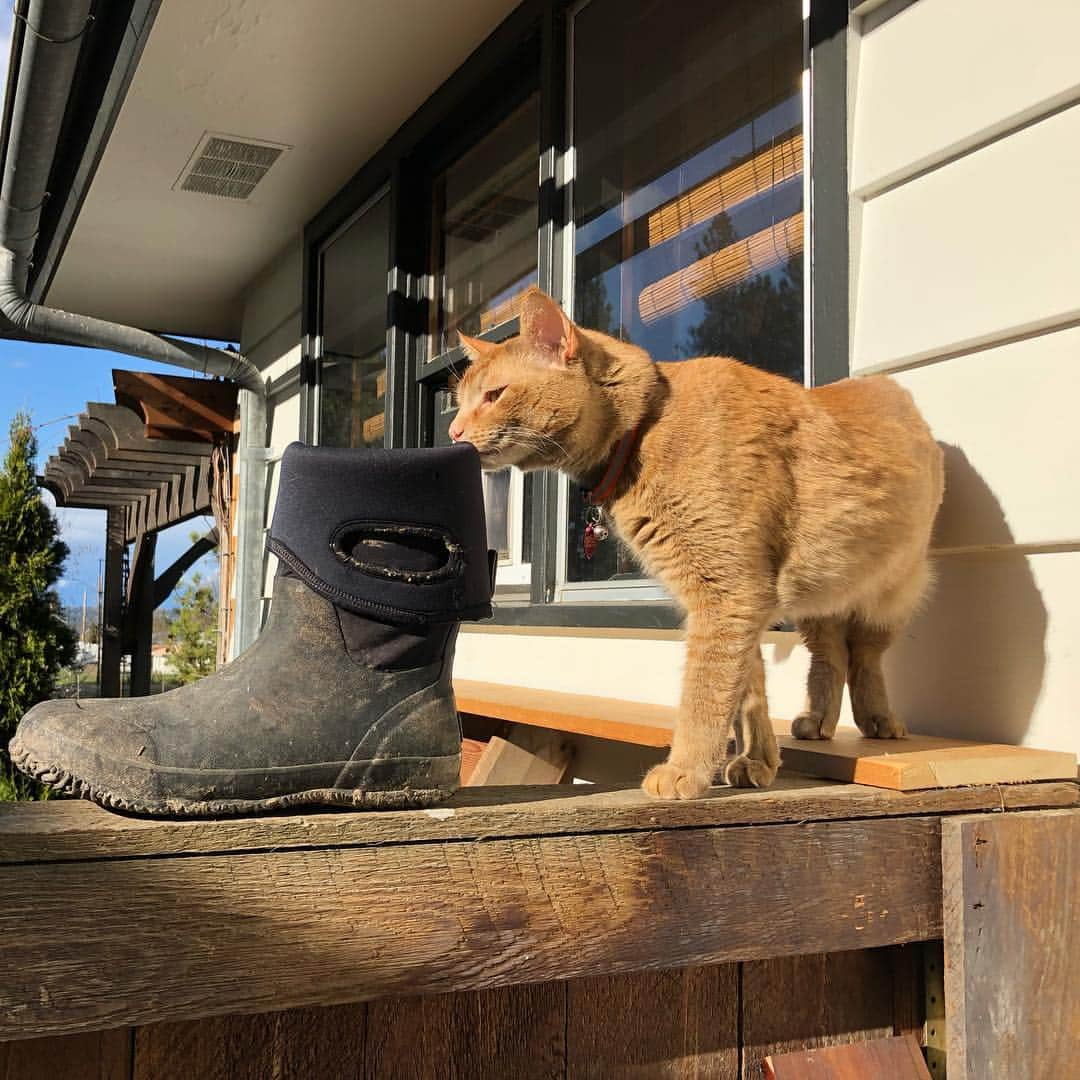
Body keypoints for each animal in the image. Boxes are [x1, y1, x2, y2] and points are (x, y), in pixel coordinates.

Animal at [451, 291, 941, 799]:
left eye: (494, 395)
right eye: (459, 403)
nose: (453, 433)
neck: (646, 427)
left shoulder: (728, 594)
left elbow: (705, 693)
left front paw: (685, 768)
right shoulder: (741, 599)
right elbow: (748, 689)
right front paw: (758, 760)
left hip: (892, 590)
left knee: (866, 655)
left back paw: (878, 719)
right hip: (819, 596)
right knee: (831, 653)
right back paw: (817, 720)